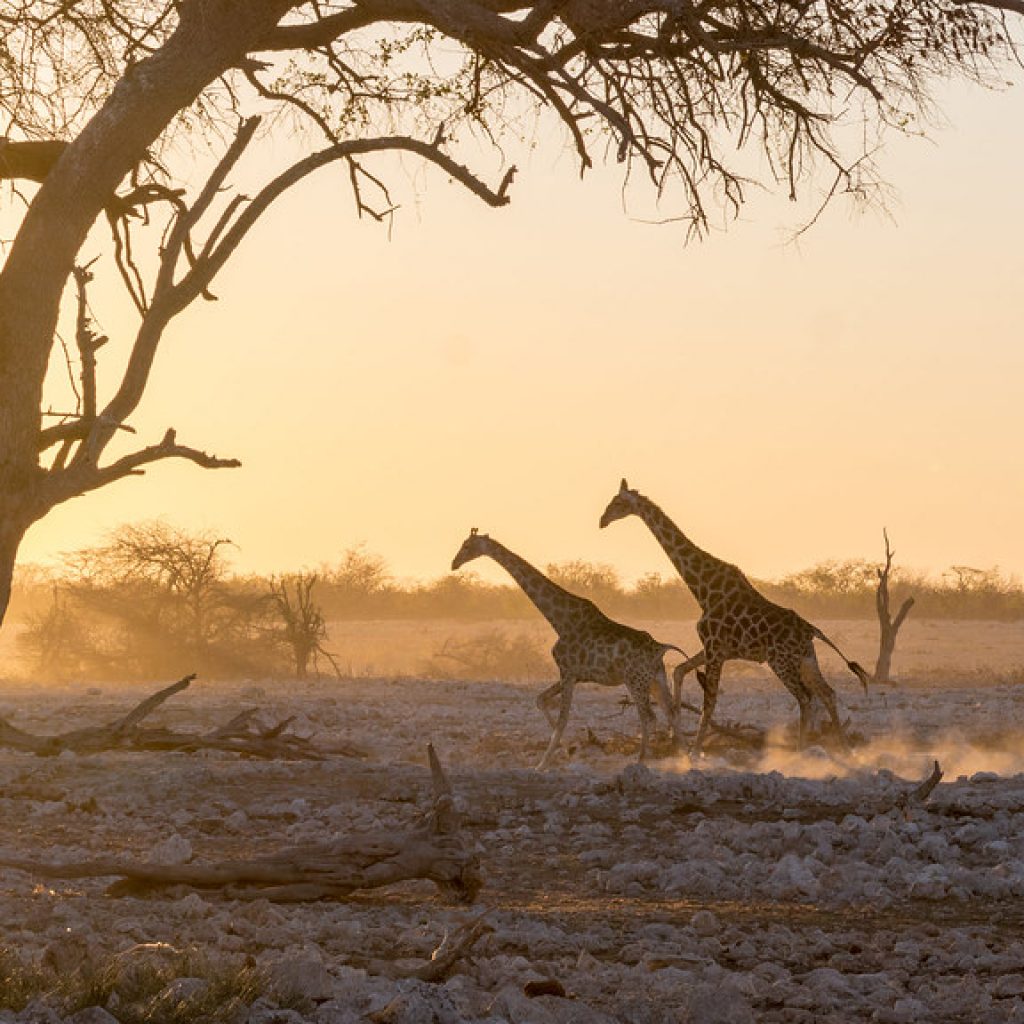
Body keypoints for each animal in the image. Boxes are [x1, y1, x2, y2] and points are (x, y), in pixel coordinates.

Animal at [451, 528, 686, 769]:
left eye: (468, 546)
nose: (454, 563)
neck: (560, 620)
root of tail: (660, 648)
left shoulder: (567, 671)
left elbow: (562, 720)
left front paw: (543, 764)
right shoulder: (575, 674)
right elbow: (540, 701)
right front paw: (568, 751)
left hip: (635, 681)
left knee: (649, 717)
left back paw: (642, 760)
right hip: (656, 679)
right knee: (672, 713)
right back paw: (684, 756)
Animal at [599, 481, 869, 754]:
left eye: (618, 503)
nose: (602, 521)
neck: (703, 588)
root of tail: (811, 629)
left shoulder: (715, 648)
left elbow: (709, 703)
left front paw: (695, 751)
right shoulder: (716, 648)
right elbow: (679, 671)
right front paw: (675, 736)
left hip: (781, 661)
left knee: (806, 698)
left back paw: (801, 752)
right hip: (806, 658)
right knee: (828, 693)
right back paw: (845, 749)